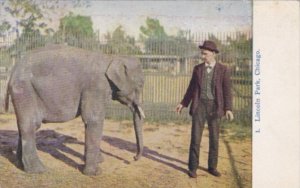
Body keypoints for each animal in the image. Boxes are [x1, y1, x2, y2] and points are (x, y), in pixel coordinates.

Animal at [4, 43, 145, 176]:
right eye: (140, 85)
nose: (133, 158)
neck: (111, 57)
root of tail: (12, 72)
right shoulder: (95, 87)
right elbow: (93, 120)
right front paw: (95, 173)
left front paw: (99, 161)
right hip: (24, 90)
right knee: (31, 125)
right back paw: (39, 170)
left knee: (25, 126)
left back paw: (20, 165)